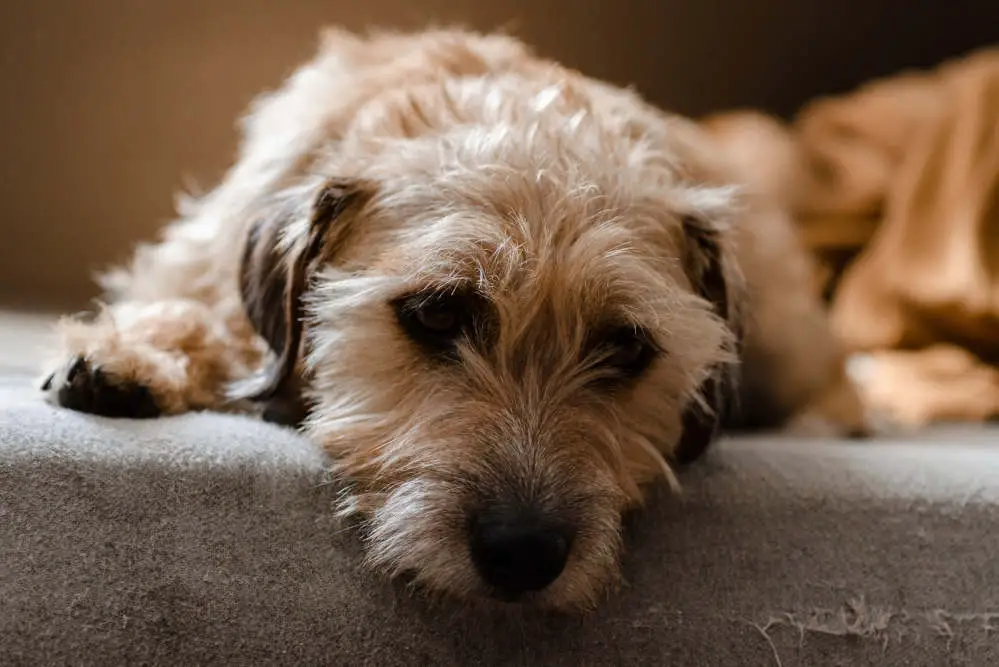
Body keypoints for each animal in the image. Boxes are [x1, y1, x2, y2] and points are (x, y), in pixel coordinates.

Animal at [41, 30, 868, 616]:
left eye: (625, 346)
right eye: (437, 313)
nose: (523, 554)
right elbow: (204, 309)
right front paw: (138, 354)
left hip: (784, 333)